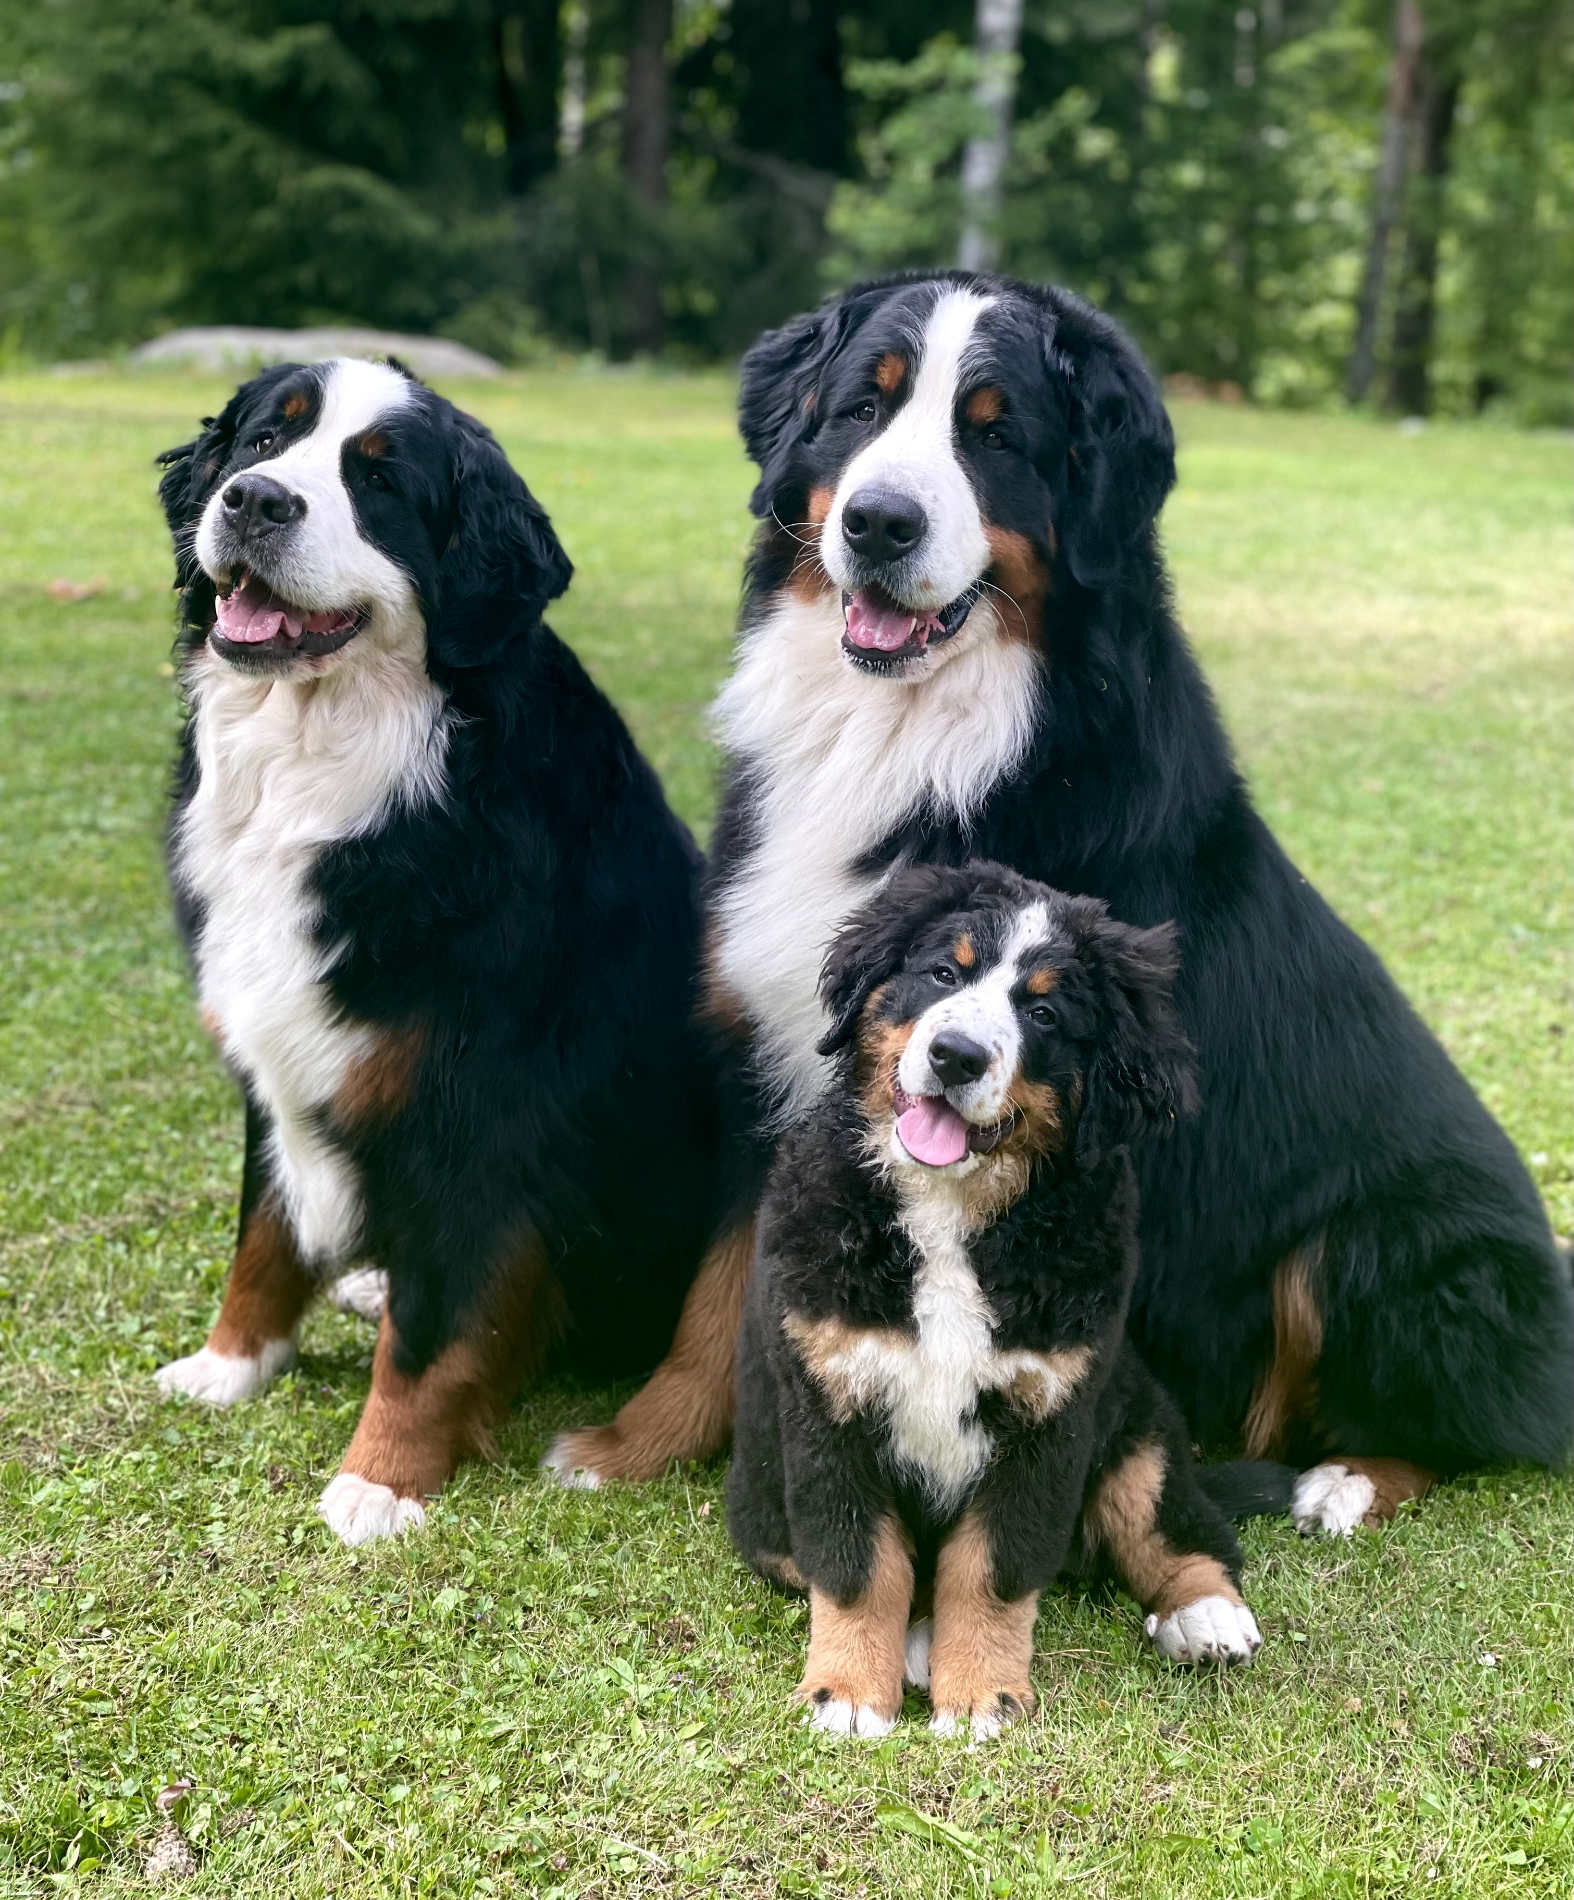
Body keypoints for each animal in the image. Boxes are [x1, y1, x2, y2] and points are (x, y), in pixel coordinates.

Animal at [153, 357, 718, 1542]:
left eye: (379, 484)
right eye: (261, 441)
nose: (253, 501)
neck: (331, 765)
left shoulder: (478, 1103)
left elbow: (433, 1326)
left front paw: (382, 1478)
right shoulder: (280, 1056)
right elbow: (263, 1231)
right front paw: (230, 1364)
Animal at [543, 271, 1574, 1527]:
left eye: (995, 436)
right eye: (861, 408)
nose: (877, 522)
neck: (914, 739)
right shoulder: (780, 1055)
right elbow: (721, 1290)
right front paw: (636, 1444)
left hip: (1384, 1240)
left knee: (1472, 1426)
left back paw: (1340, 1482)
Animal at [729, 862, 1269, 1740]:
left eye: (1044, 1012)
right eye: (943, 974)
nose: (955, 1055)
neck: (949, 1211)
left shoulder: (1047, 1415)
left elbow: (991, 1569)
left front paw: (982, 1696)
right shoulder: (828, 1405)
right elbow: (858, 1566)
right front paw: (848, 1695)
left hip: (1136, 1424)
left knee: (1174, 1523)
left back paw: (1206, 1614)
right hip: (763, 1501)